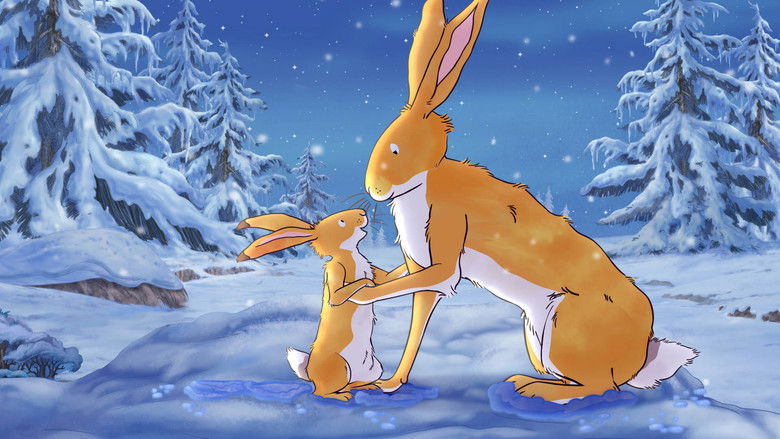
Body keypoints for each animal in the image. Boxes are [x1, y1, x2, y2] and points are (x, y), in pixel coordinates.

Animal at [235, 210, 407, 401]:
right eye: (341, 221)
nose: (363, 213)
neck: (349, 254)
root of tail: (309, 372)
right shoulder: (335, 271)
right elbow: (339, 294)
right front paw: (366, 282)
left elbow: (390, 276)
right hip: (340, 366)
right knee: (321, 391)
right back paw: (342, 396)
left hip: (373, 367)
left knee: (353, 383)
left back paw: (368, 385)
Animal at [330, 0, 698, 402]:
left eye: (395, 149)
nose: (374, 190)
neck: (424, 181)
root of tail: (641, 355)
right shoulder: (422, 273)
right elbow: (411, 315)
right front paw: (389, 382)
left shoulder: (444, 245)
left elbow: (411, 290)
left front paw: (357, 297)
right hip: (536, 336)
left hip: (563, 327)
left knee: (598, 385)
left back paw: (529, 387)